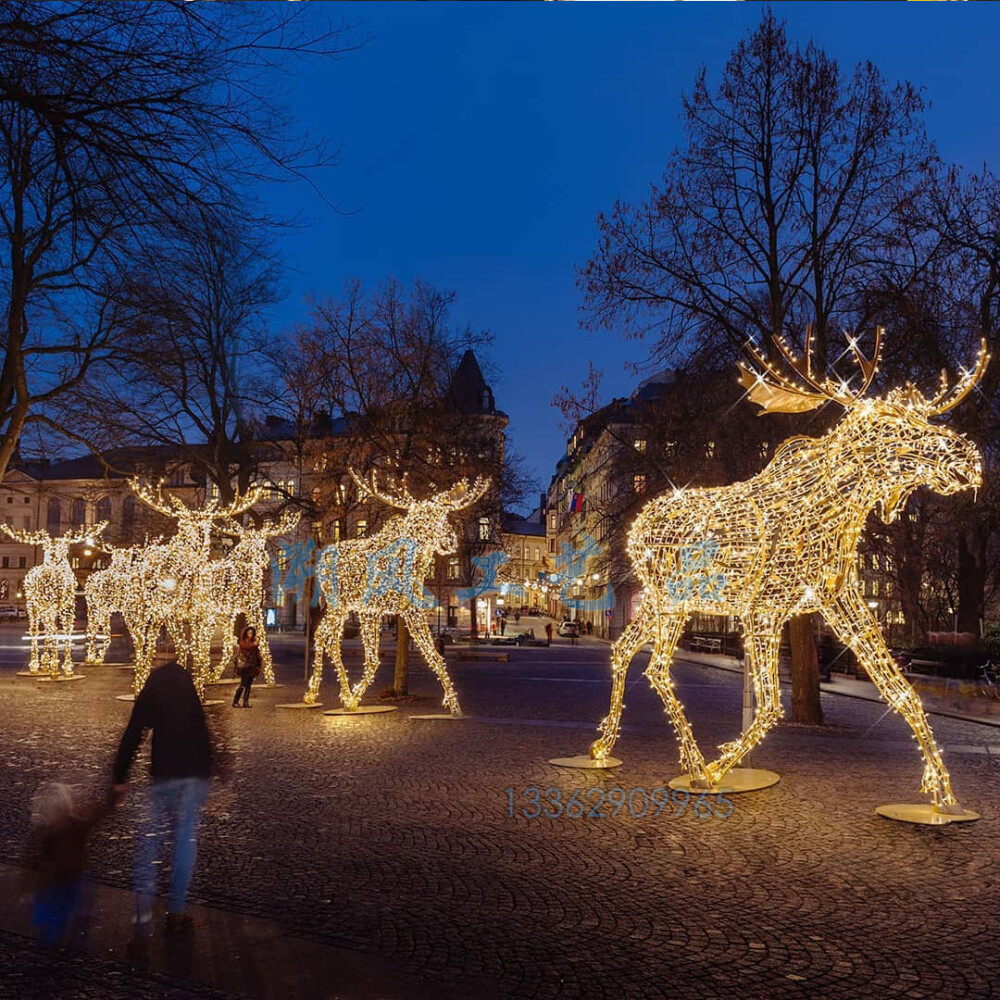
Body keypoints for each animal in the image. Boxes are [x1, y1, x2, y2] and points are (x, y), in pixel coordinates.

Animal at [2, 524, 107, 680]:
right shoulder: (58, 607)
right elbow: (57, 632)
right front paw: (55, 667)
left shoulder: (65, 607)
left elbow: (62, 632)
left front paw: (58, 666)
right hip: (37, 606)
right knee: (41, 630)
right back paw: (43, 666)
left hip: (42, 607)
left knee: (45, 630)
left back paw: (46, 666)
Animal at [304, 472, 492, 716]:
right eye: (424, 518)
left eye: (445, 515)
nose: (450, 540)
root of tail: (322, 558)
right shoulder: (387, 610)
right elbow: (377, 659)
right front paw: (354, 698)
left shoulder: (389, 611)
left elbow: (431, 655)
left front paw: (454, 705)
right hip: (338, 604)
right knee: (324, 636)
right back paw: (322, 693)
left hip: (341, 607)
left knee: (326, 637)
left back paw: (325, 693)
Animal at [584, 328, 984, 820]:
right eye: (890, 421)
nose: (967, 460)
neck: (838, 510)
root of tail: (637, 530)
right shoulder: (766, 608)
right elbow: (772, 704)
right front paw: (719, 767)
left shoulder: (839, 600)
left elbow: (903, 691)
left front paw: (943, 794)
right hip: (674, 601)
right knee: (657, 668)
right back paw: (695, 766)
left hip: (659, 603)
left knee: (622, 650)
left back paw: (604, 746)